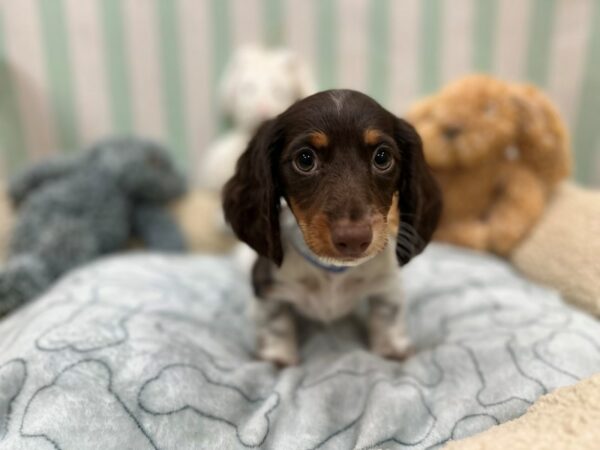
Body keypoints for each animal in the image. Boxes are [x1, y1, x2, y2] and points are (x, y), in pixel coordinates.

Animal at [223, 89, 438, 366]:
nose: (354, 239)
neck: (333, 270)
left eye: (382, 157)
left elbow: (388, 312)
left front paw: (392, 348)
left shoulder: (387, 281)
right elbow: (276, 320)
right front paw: (279, 357)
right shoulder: (268, 284)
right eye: (305, 159)